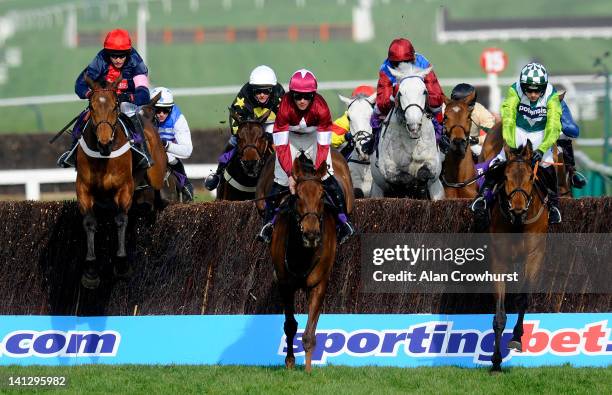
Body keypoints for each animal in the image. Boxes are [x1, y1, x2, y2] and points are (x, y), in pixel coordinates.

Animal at [77, 76, 166, 290]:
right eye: (91, 107)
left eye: (115, 106)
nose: (104, 142)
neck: (104, 157)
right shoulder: (83, 188)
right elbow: (90, 222)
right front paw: (91, 271)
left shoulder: (124, 187)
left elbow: (120, 220)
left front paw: (122, 264)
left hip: (156, 173)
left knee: (156, 193)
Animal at [368, 65, 444, 201]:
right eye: (400, 93)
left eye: (424, 91)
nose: (414, 125)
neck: (411, 141)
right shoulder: (388, 167)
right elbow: (404, 178)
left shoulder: (433, 163)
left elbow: (423, 173)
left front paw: (419, 188)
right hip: (377, 190)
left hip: (437, 190)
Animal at [488, 141, 548, 372]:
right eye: (505, 177)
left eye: (531, 177)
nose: (518, 210)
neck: (518, 225)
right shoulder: (499, 259)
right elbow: (499, 313)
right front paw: (496, 361)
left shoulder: (534, 255)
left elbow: (523, 298)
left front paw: (516, 337)